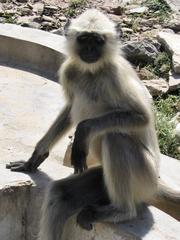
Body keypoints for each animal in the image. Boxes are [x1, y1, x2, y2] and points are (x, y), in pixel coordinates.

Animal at [6, 8, 179, 239]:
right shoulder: (70, 70)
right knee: (60, 194)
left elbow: (143, 117)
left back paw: (122, 211)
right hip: (102, 179)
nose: (89, 49)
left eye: (97, 41)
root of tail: (156, 184)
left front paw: (83, 131)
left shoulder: (115, 75)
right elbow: (70, 109)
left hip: (144, 178)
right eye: (84, 39)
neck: (92, 72)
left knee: (115, 138)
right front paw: (35, 157)